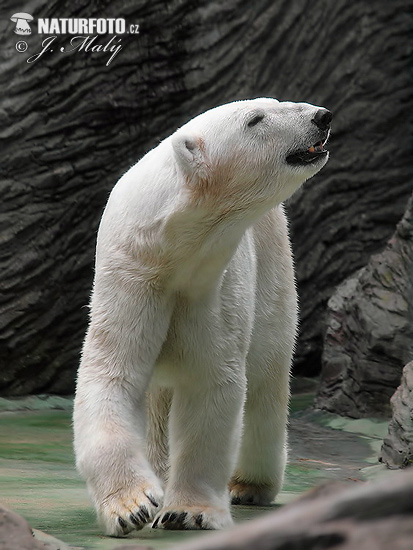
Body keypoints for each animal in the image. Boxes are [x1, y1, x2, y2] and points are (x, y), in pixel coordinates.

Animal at [73, 97, 332, 536]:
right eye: (255, 119)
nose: (321, 116)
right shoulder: (129, 277)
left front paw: (188, 511)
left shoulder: (209, 286)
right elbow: (112, 376)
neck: (170, 247)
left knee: (266, 375)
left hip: (273, 267)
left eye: (276, 102)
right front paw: (133, 506)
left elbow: (211, 383)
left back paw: (248, 484)